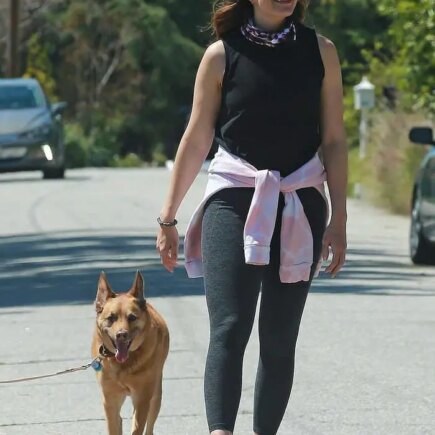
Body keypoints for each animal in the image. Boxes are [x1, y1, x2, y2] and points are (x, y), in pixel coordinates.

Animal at [91, 270, 169, 434]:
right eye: (111, 318)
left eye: (132, 317)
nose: (121, 334)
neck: (124, 365)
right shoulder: (110, 400)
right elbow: (114, 426)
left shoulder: (142, 398)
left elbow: (138, 428)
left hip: (156, 394)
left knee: (150, 425)